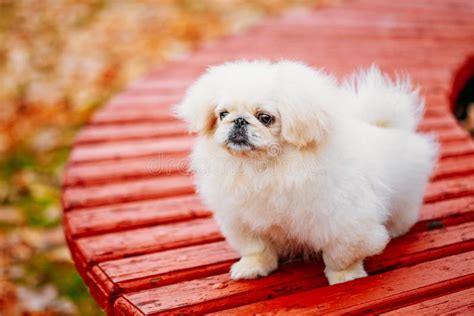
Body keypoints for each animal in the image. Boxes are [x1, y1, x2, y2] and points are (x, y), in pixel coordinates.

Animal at [177, 60, 436, 286]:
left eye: (265, 118)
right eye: (222, 114)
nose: (239, 121)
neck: (266, 168)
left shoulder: (343, 221)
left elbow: (341, 255)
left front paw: (345, 277)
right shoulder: (244, 221)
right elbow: (257, 249)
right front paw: (253, 267)